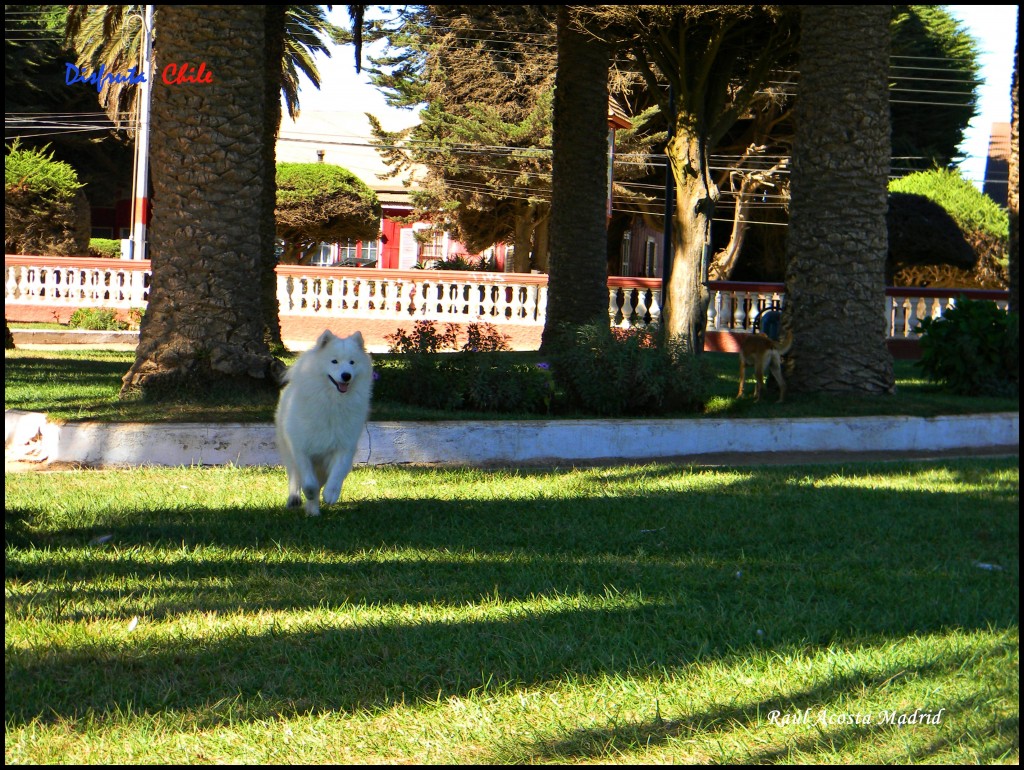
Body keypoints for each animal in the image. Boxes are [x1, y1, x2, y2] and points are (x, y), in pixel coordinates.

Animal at [274, 331, 374, 518]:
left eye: (352, 362)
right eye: (334, 361)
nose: (346, 375)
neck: (332, 402)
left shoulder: (344, 446)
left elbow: (337, 473)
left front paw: (331, 494)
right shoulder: (301, 448)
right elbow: (309, 483)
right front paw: (310, 494)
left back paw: (313, 510)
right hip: (288, 450)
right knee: (294, 476)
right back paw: (295, 500)